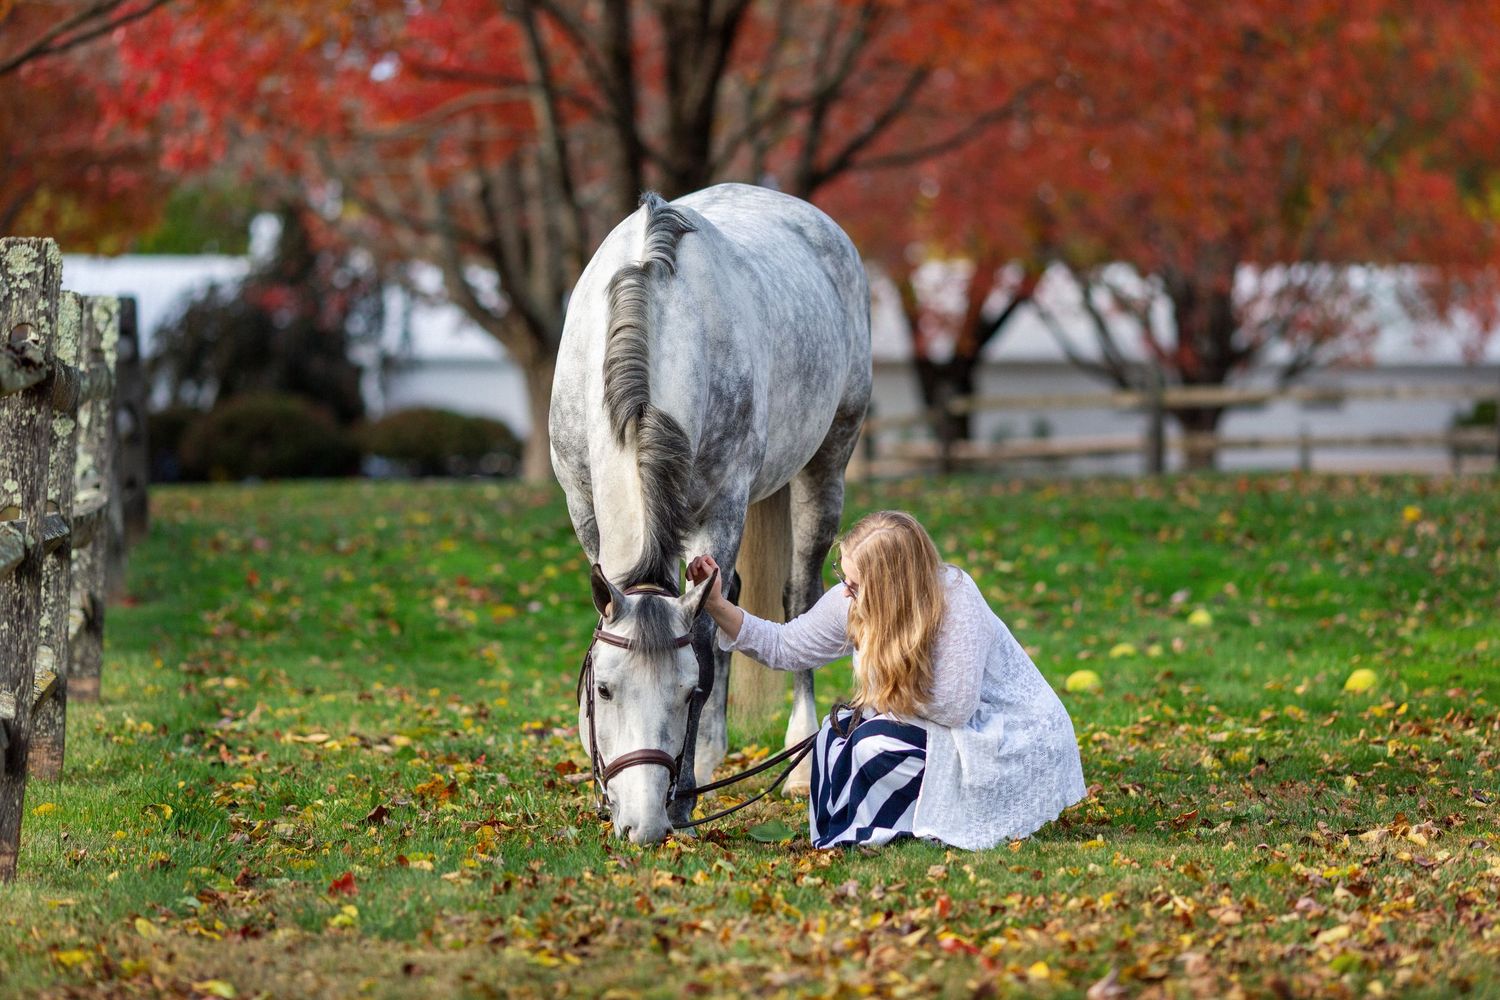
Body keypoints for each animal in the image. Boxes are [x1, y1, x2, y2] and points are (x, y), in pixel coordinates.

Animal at [549, 182, 871, 843]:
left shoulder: (721, 509)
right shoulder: (583, 509)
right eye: (604, 690)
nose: (643, 824)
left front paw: (685, 801)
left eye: (687, 692)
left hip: (826, 465)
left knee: (798, 597)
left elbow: (702, 638)